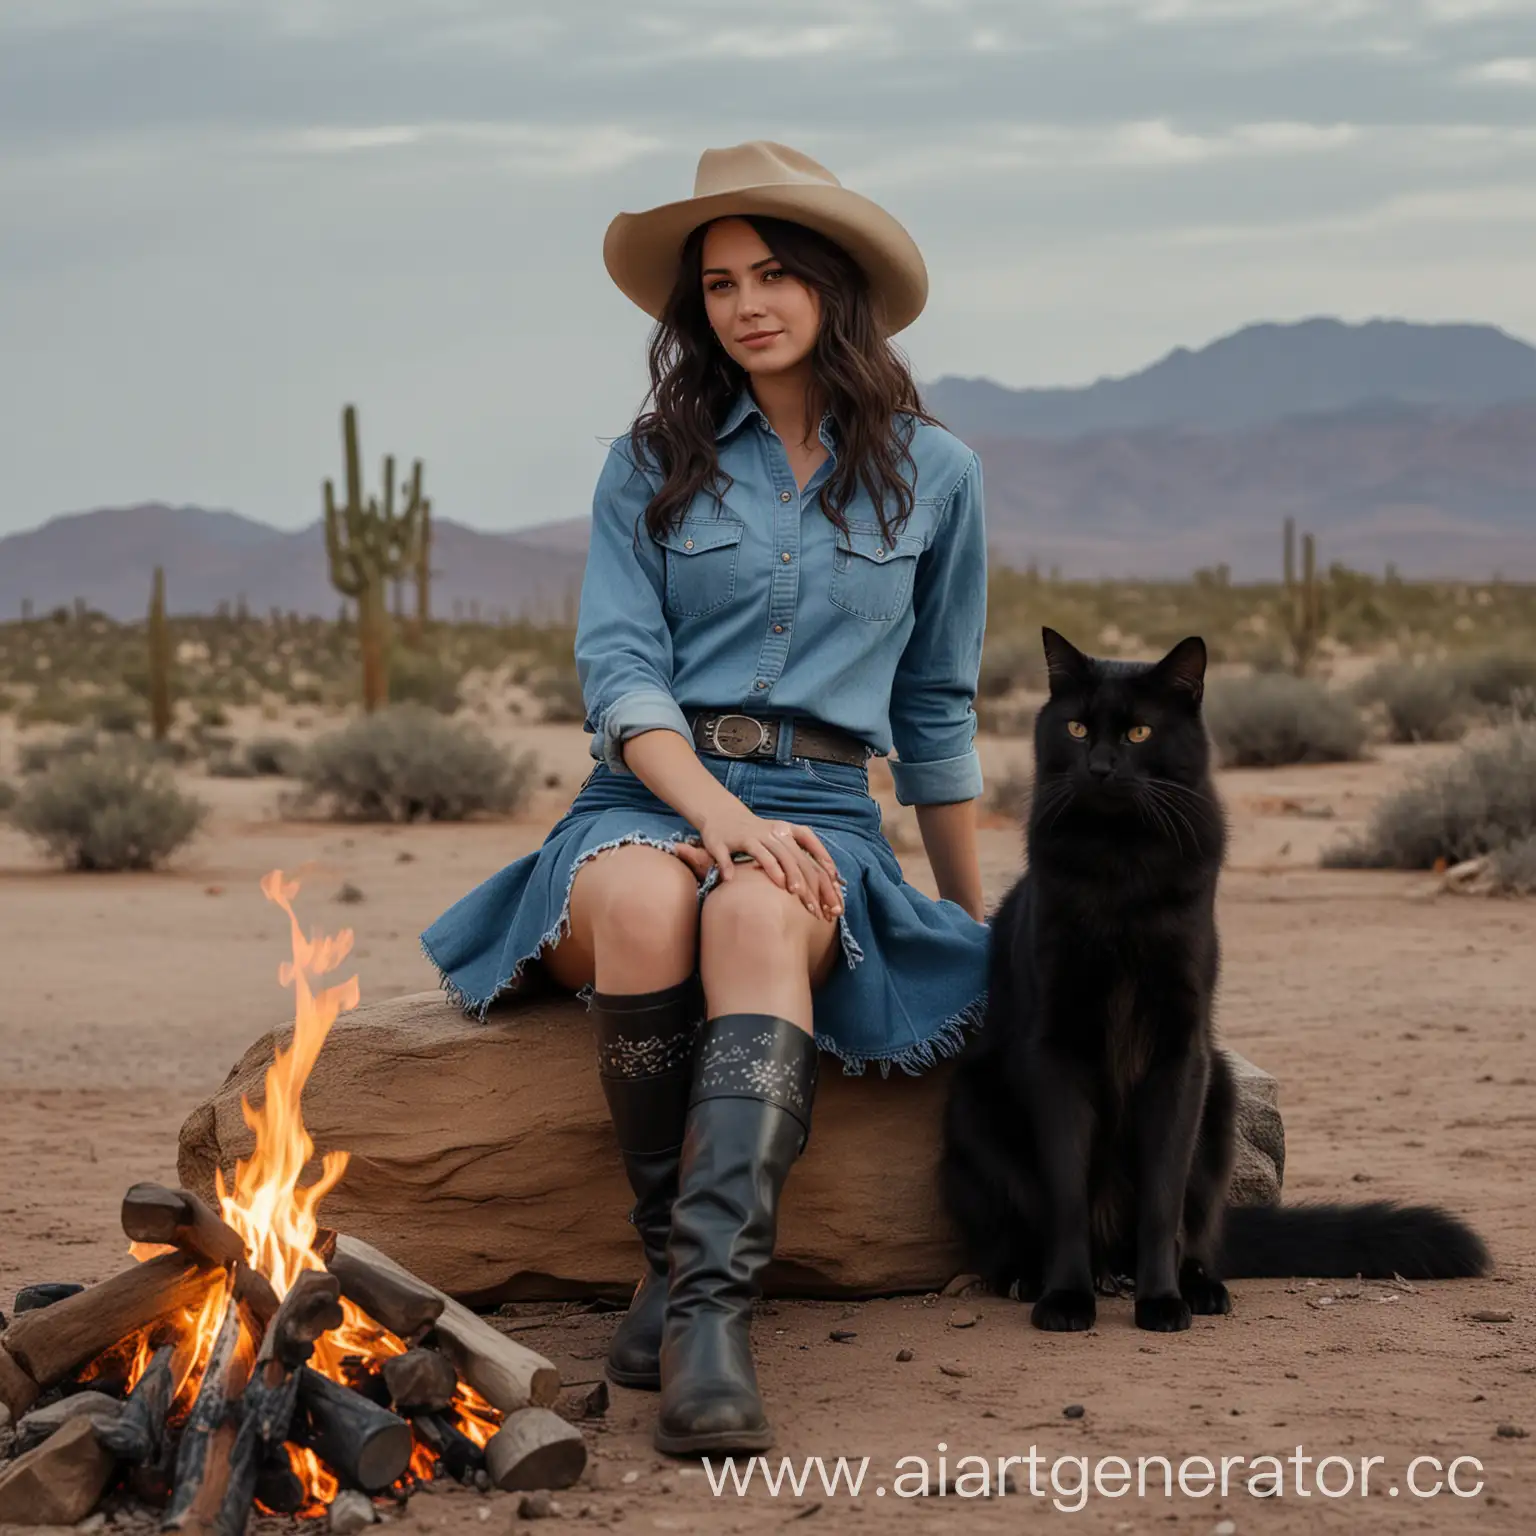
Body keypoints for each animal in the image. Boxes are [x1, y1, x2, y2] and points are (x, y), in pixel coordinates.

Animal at [933, 626, 1486, 1333]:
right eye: (1078, 728)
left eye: (1139, 733)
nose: (1101, 767)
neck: (1121, 864)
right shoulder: (1057, 1046)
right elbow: (1065, 1194)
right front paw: (1066, 1299)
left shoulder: (1181, 1049)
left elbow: (1163, 1199)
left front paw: (1162, 1302)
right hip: (976, 1107)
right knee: (1024, 1227)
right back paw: (1036, 1279)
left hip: (1218, 1090)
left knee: (1195, 1230)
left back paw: (1195, 1287)